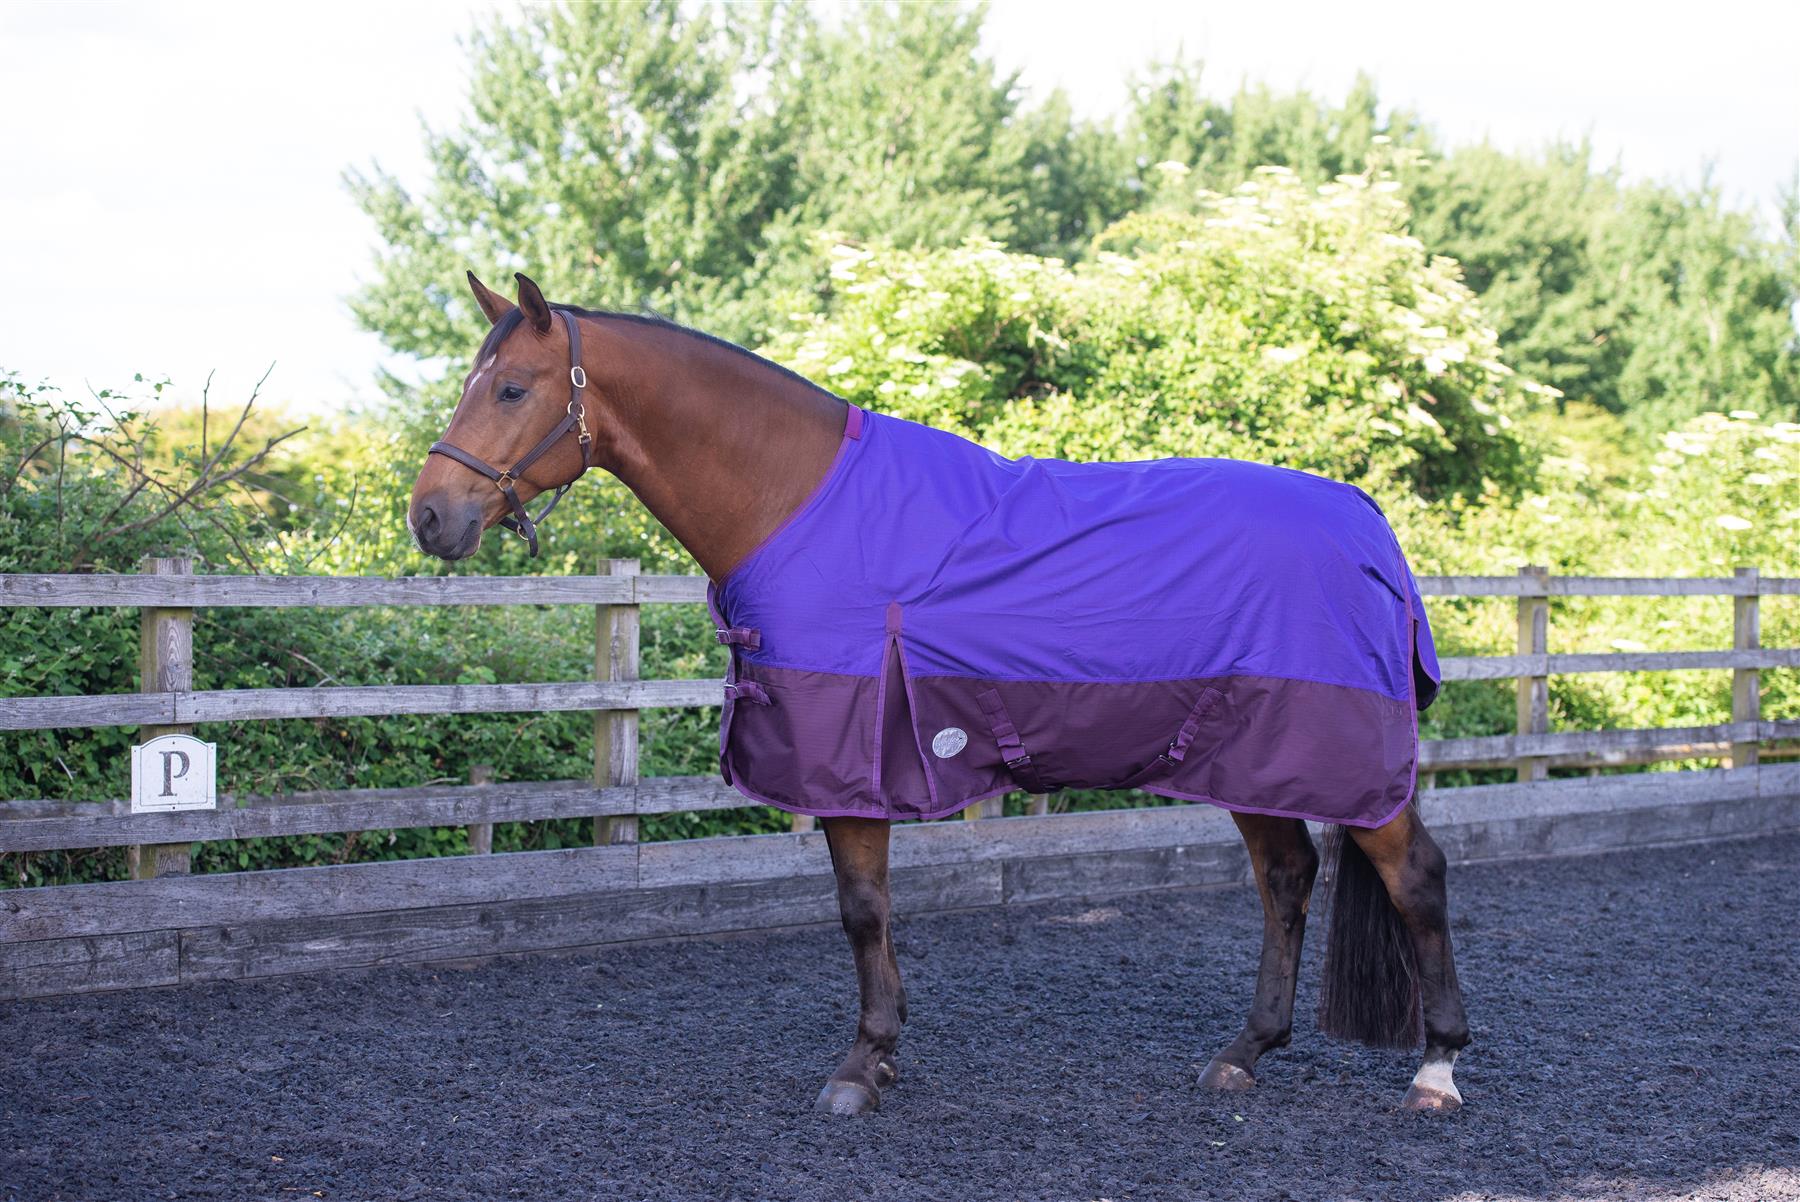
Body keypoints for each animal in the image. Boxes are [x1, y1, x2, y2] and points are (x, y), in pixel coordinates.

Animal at [408, 271, 1471, 1116]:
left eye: (511, 387)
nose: (429, 517)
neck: (797, 499)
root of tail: (1368, 522)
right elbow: (869, 910)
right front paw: (882, 1054)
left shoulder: (851, 766)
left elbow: (861, 908)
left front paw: (862, 1064)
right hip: (1253, 761)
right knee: (1286, 879)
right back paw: (1245, 1053)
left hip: (1330, 760)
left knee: (1413, 877)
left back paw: (1437, 1070)